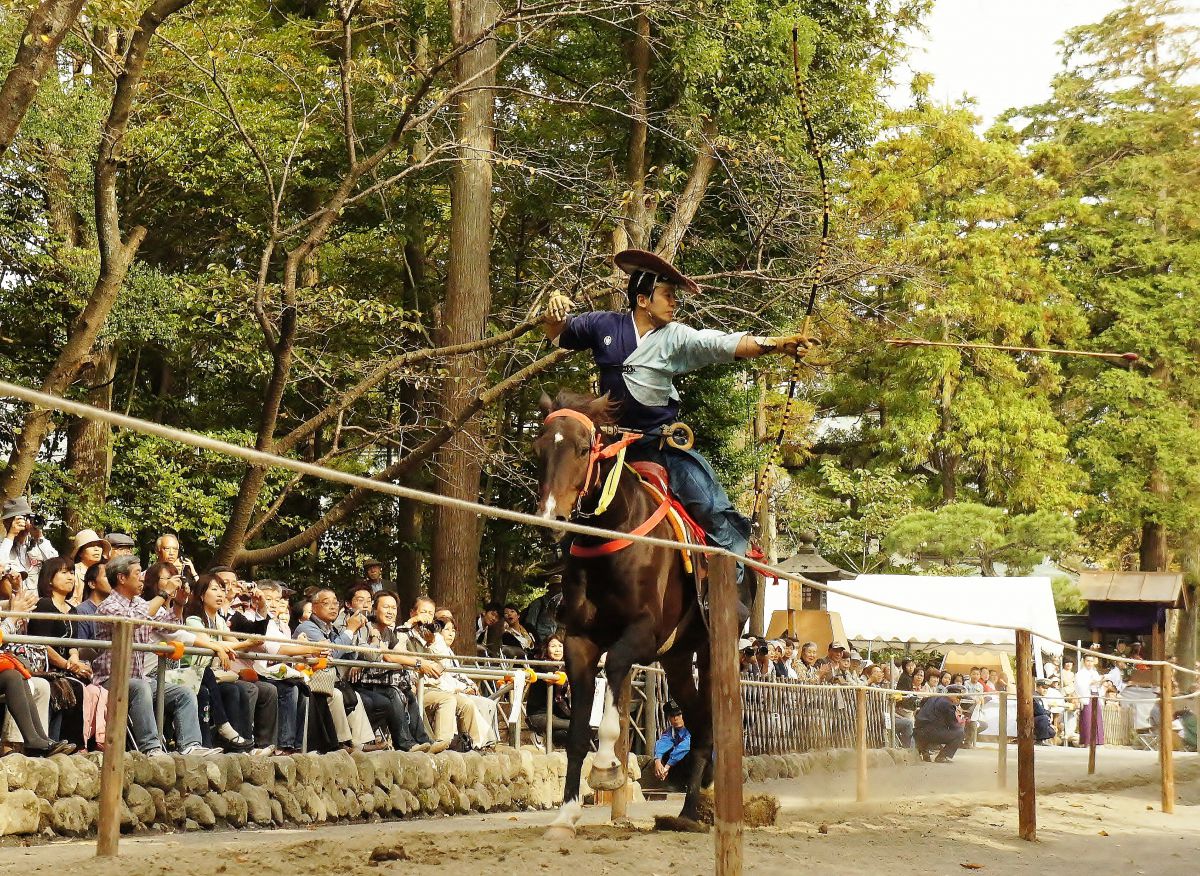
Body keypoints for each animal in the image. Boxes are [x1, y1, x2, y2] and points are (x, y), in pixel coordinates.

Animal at [535, 388, 710, 830]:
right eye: (538, 447)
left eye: (584, 449)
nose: (551, 517)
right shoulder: (578, 640)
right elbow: (577, 733)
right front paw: (566, 812)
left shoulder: (644, 633)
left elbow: (614, 667)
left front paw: (606, 766)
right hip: (678, 657)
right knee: (699, 722)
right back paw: (689, 810)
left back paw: (694, 808)